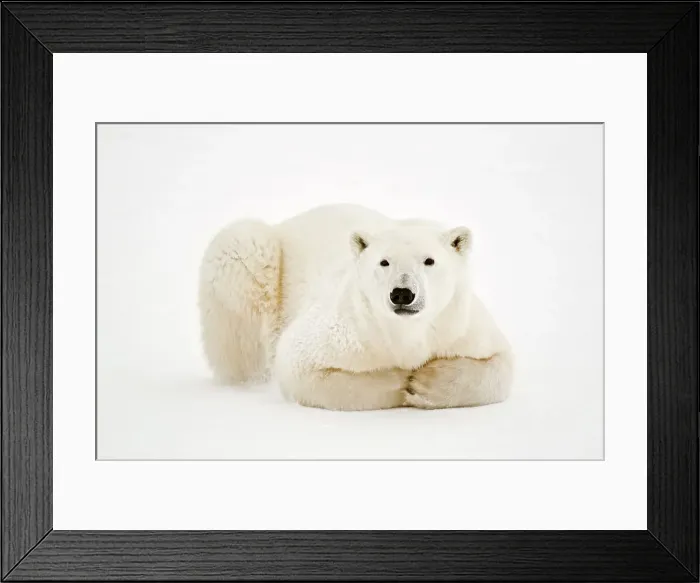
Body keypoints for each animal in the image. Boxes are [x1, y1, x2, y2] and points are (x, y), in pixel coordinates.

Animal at [198, 203, 513, 411]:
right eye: (384, 261)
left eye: (429, 260)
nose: (402, 294)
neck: (406, 333)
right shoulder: (351, 330)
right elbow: (299, 365)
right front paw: (404, 381)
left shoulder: (459, 325)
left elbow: (501, 363)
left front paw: (427, 381)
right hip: (258, 262)